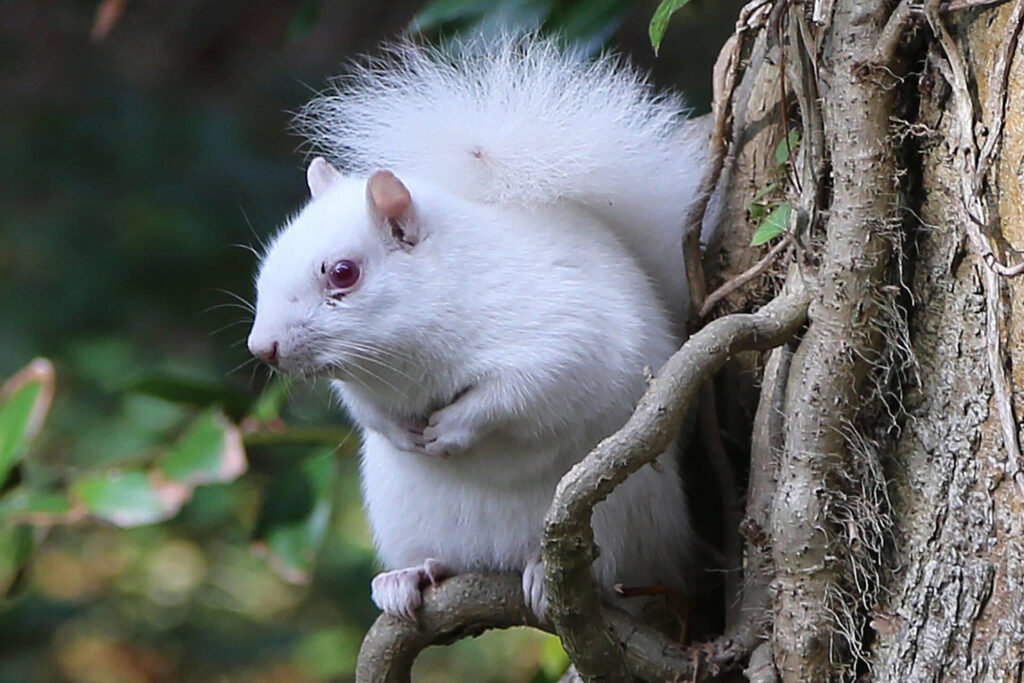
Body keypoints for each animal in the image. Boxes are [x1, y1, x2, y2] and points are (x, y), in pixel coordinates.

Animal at [247, 34, 706, 621]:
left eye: (344, 273)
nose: (263, 348)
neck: (404, 356)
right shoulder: (363, 384)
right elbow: (366, 410)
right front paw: (399, 430)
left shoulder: (561, 331)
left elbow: (524, 391)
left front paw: (455, 427)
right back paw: (406, 576)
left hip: (624, 519)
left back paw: (542, 575)